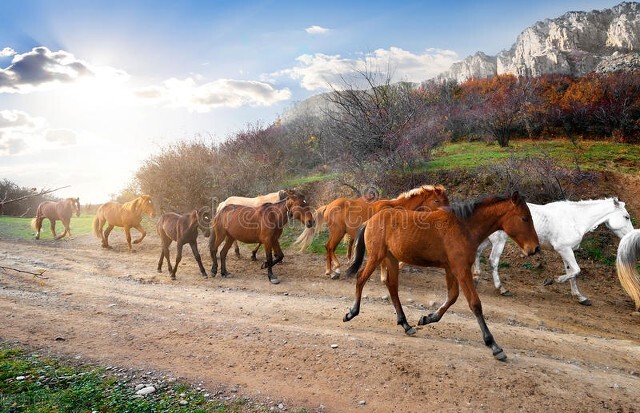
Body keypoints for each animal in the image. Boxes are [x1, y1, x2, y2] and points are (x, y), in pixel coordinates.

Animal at [292, 185, 448, 278]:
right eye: (436, 200)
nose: (448, 213)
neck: (396, 209)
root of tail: (328, 206)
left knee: (328, 247)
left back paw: (330, 270)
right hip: (338, 233)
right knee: (329, 247)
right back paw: (334, 270)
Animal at [344, 192, 540, 358]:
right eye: (524, 218)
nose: (535, 248)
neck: (464, 227)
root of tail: (369, 221)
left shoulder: (451, 269)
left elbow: (452, 297)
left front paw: (427, 318)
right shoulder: (461, 269)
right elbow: (475, 303)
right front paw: (493, 345)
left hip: (391, 259)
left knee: (392, 287)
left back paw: (406, 325)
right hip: (376, 256)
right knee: (361, 278)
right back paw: (352, 313)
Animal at [472, 198, 632, 304]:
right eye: (626, 217)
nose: (630, 235)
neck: (575, 219)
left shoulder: (566, 251)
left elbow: (571, 272)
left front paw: (580, 297)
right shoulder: (564, 249)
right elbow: (576, 270)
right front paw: (554, 280)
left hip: (487, 239)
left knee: (477, 252)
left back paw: (476, 278)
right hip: (498, 241)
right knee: (493, 261)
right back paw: (502, 289)